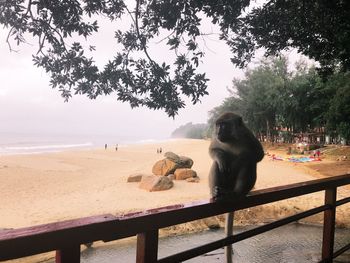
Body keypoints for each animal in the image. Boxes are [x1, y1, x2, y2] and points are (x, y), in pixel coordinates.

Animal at [209, 112, 264, 263]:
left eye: (224, 125)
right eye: (218, 125)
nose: (218, 131)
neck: (231, 140)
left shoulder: (248, 135)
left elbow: (257, 154)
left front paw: (241, 157)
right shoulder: (216, 139)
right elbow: (213, 150)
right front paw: (222, 157)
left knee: (249, 163)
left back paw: (237, 193)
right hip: (224, 183)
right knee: (216, 165)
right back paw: (216, 192)